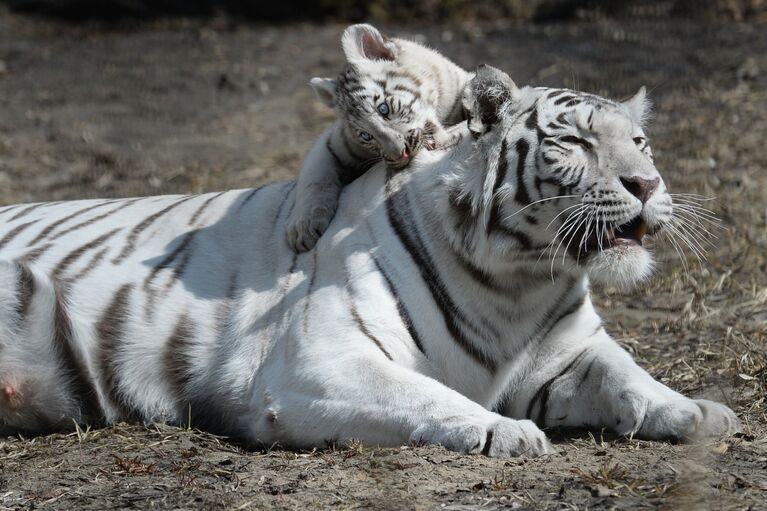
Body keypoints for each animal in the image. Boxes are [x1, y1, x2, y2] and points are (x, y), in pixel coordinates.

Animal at [0, 65, 736, 456]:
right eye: (577, 143)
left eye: (639, 141)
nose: (648, 183)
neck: (517, 282)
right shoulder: (316, 363)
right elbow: (427, 394)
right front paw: (507, 430)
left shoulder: (569, 352)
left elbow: (630, 377)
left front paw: (702, 412)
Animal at [286, 24, 472, 254]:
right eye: (366, 135)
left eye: (383, 109)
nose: (400, 154)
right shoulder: (332, 144)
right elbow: (314, 179)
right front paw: (301, 229)